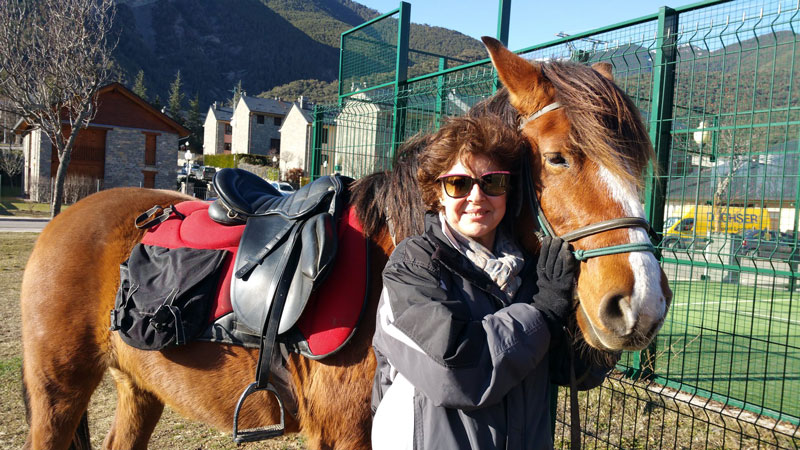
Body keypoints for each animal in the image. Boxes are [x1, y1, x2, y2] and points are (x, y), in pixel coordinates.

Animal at [18, 38, 668, 450]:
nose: (641, 305)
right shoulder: (343, 436)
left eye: (640, 162)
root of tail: (68, 215)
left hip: (140, 387)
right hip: (57, 394)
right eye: (558, 158)